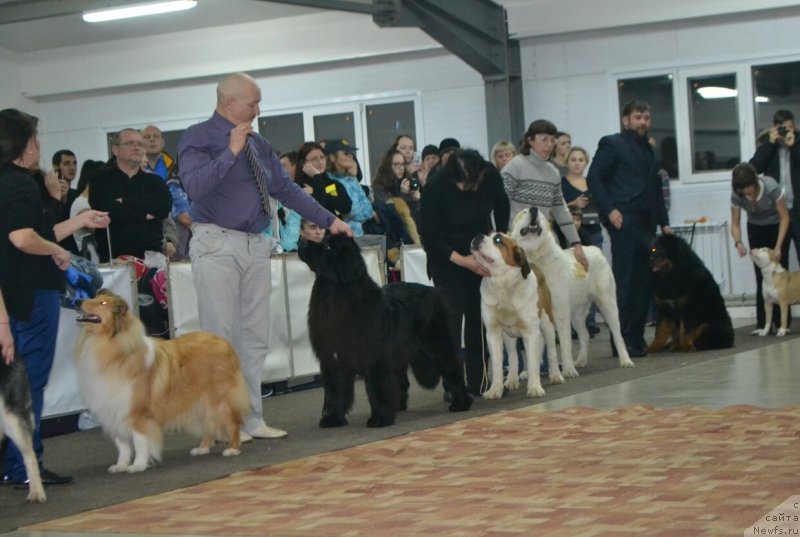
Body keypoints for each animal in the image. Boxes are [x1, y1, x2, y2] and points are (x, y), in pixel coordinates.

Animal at [76, 292, 250, 472]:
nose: (78, 301)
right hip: (200, 402)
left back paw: (233, 449)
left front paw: (138, 465)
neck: (109, 347)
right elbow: (122, 445)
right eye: (95, 298)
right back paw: (202, 448)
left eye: (103, 303)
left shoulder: (138, 413)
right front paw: (121, 465)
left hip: (219, 400)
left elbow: (140, 442)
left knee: (232, 423)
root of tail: (224, 343)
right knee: (209, 425)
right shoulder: (113, 410)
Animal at [300, 234, 476, 428]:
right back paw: (398, 405)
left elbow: (378, 388)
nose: (302, 240)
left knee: (453, 369)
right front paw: (332, 418)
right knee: (401, 382)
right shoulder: (333, 359)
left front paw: (380, 418)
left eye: (328, 247)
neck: (334, 295)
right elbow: (335, 390)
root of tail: (434, 291)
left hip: (437, 345)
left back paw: (461, 402)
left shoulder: (375, 357)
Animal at [468, 231, 564, 398]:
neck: (503, 285)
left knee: (551, 349)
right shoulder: (493, 333)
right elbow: (497, 364)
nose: (478, 236)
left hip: (547, 324)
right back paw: (512, 379)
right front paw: (495, 390)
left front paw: (534, 387)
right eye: (487, 234)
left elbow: (532, 361)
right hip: (509, 335)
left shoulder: (531, 332)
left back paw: (556, 375)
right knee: (513, 355)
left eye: (498, 239)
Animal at [510, 208, 636, 368]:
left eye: (541, 216)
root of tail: (596, 249)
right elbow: (537, 349)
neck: (536, 258)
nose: (534, 209)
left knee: (617, 334)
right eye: (523, 212)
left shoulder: (560, 313)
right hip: (577, 314)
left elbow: (565, 344)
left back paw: (625, 360)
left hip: (607, 305)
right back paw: (581, 360)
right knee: (585, 335)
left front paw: (567, 369)